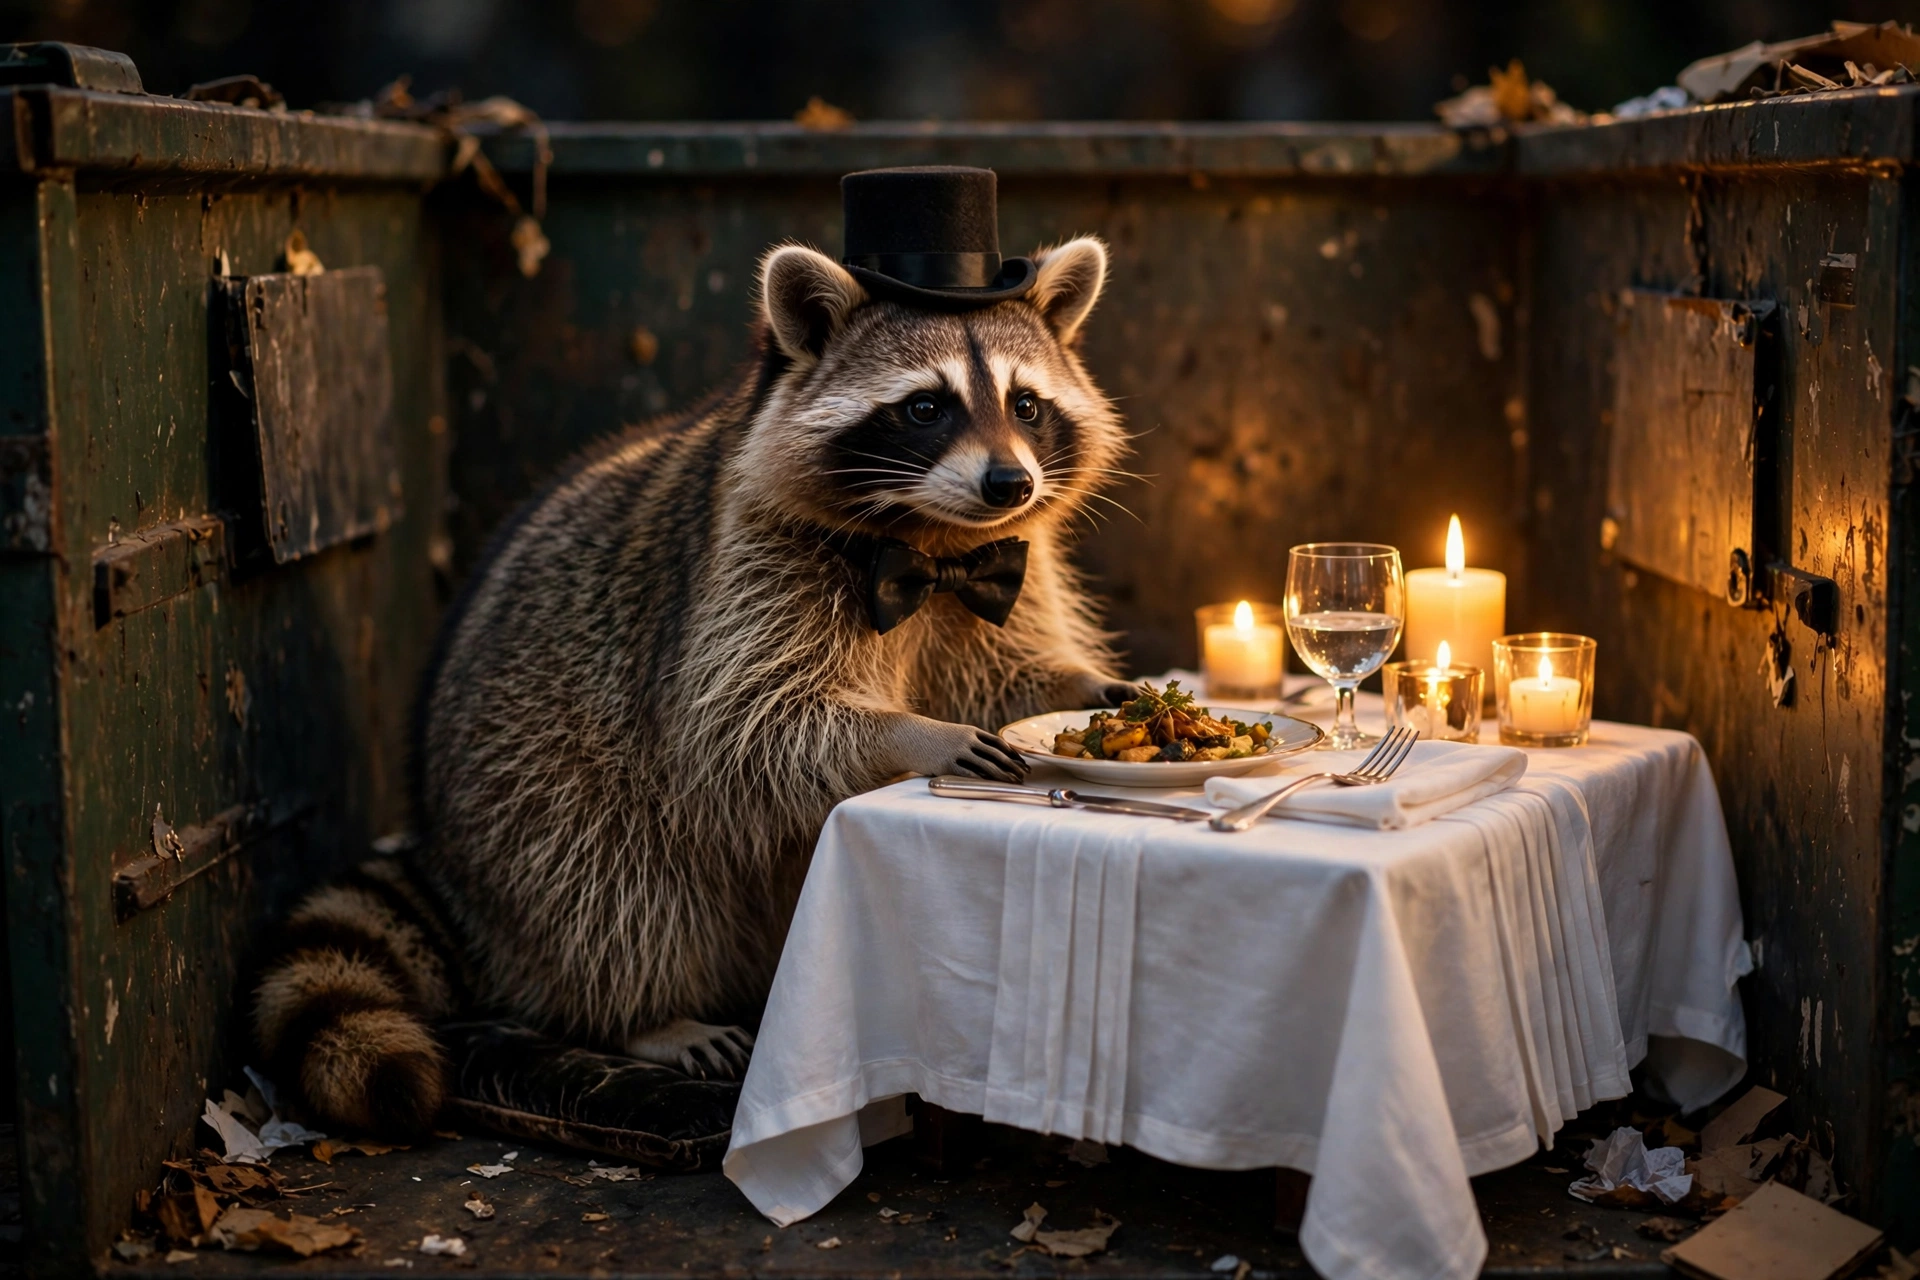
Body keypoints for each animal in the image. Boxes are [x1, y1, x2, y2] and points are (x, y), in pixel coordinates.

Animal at [252, 229, 1134, 1137]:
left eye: (1026, 404)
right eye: (926, 408)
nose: (1009, 484)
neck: (931, 546)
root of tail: (447, 862)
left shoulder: (999, 570)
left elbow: (999, 672)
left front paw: (1093, 689)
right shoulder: (741, 572)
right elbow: (748, 725)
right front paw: (916, 733)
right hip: (522, 784)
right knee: (610, 877)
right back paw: (643, 1015)